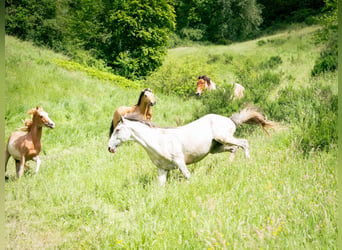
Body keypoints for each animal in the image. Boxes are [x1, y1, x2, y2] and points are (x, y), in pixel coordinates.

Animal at [108, 106, 274, 187]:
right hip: (216, 148)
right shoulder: (162, 169)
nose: (109, 148)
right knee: (234, 148)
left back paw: (247, 162)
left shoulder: (180, 162)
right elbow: (160, 187)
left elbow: (188, 176)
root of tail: (230, 119)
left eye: (118, 130)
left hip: (224, 138)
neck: (158, 141)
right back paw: (228, 166)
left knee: (244, 143)